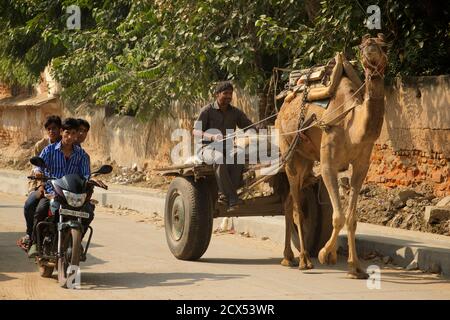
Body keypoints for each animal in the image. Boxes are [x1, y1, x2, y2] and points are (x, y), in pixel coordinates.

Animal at [274, 32, 386, 278]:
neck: (352, 123)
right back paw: (304, 260)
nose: (371, 49)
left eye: (385, 45)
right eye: (362, 45)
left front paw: (356, 268)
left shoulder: (362, 165)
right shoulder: (328, 165)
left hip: (306, 159)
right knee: (297, 208)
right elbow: (338, 216)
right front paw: (326, 254)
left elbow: (352, 218)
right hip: (288, 151)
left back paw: (288, 257)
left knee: (288, 202)